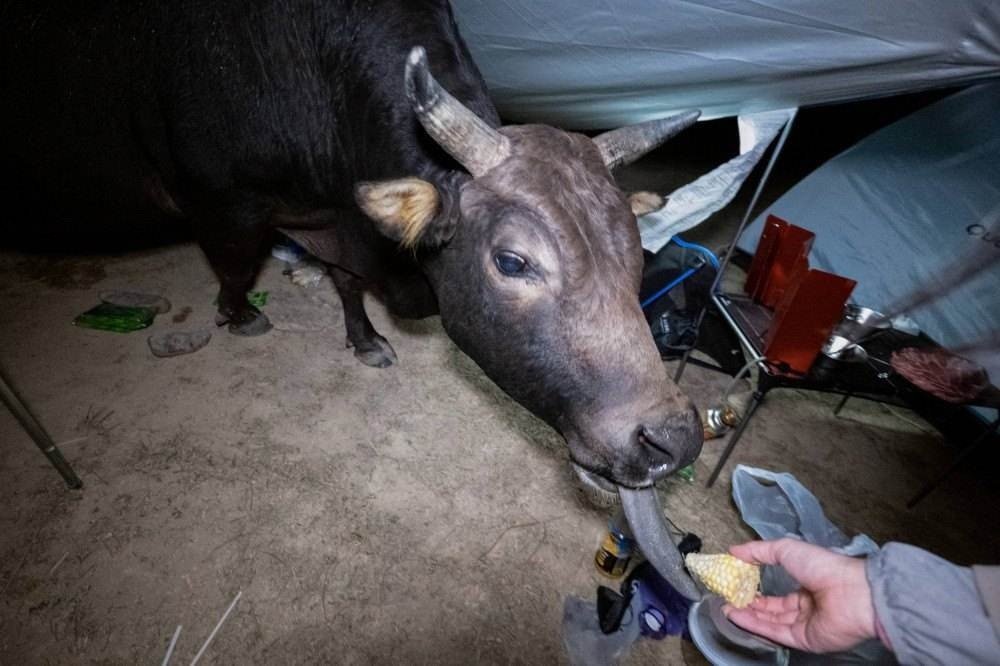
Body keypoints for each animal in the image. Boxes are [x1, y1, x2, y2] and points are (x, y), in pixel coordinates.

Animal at [1, 0, 703, 596]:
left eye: (638, 254)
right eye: (512, 261)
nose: (672, 440)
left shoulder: (333, 219)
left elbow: (344, 280)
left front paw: (364, 339)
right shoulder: (224, 207)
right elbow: (235, 266)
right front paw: (239, 314)